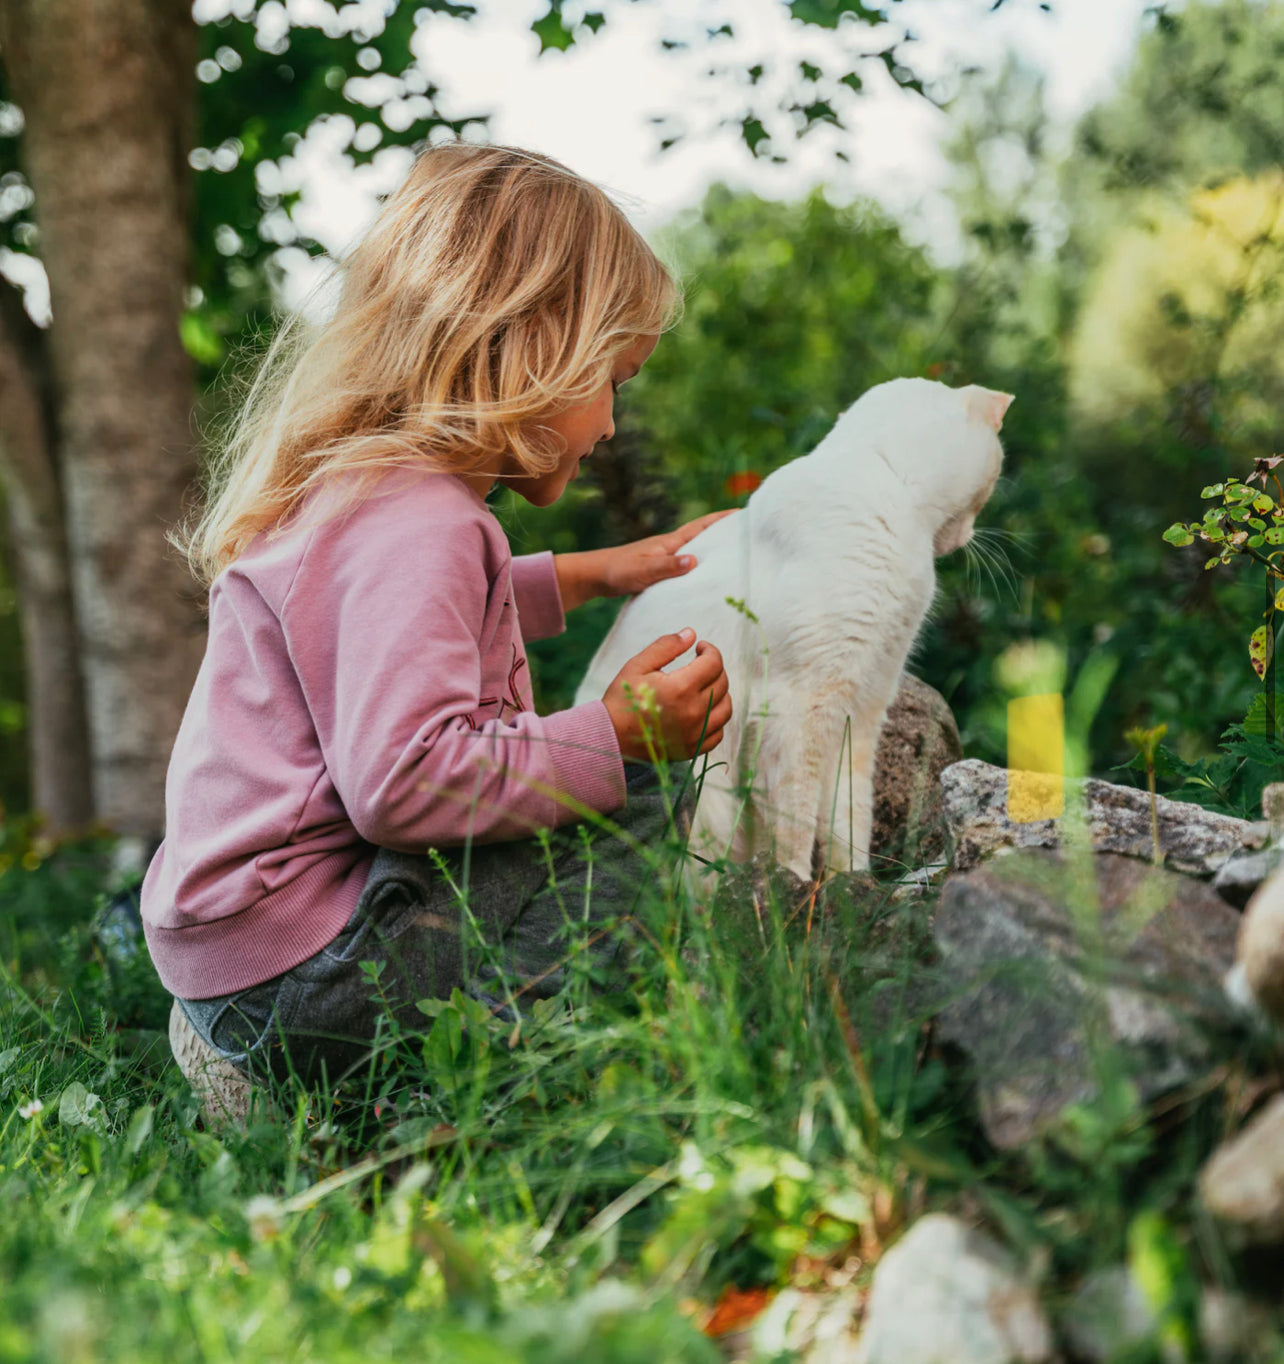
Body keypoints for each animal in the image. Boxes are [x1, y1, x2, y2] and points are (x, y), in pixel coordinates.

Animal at [573, 379, 1009, 878]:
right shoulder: (799, 704)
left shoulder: (862, 706)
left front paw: (850, 881)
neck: (885, 479)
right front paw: (794, 885)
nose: (965, 538)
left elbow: (849, 815)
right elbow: (795, 819)